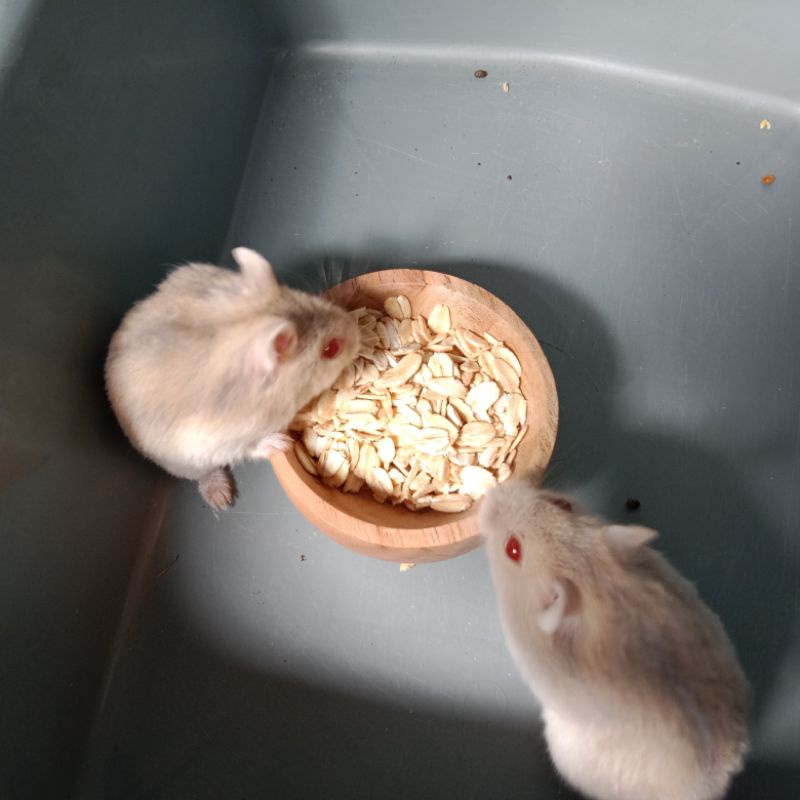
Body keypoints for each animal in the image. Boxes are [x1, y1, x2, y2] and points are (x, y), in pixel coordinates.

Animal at [105, 247, 359, 509]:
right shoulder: (223, 440)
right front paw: (282, 443)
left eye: (315, 298)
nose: (358, 330)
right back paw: (222, 498)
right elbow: (253, 446)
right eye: (331, 349)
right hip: (182, 462)